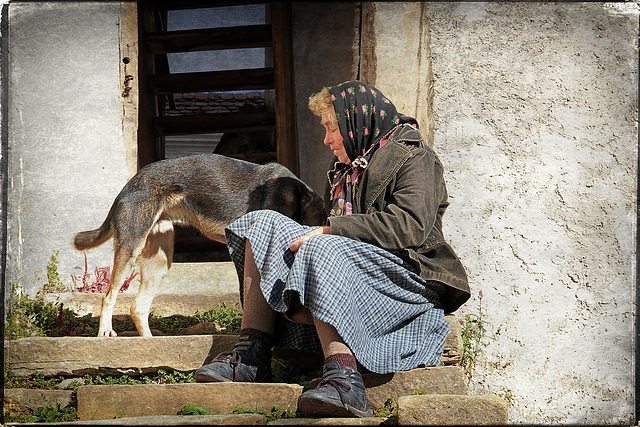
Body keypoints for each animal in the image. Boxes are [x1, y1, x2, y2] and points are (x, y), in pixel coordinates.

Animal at [72, 154, 328, 338]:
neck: (301, 200)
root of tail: (129, 185)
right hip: (131, 248)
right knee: (108, 296)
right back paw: (105, 331)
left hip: (159, 263)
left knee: (138, 307)